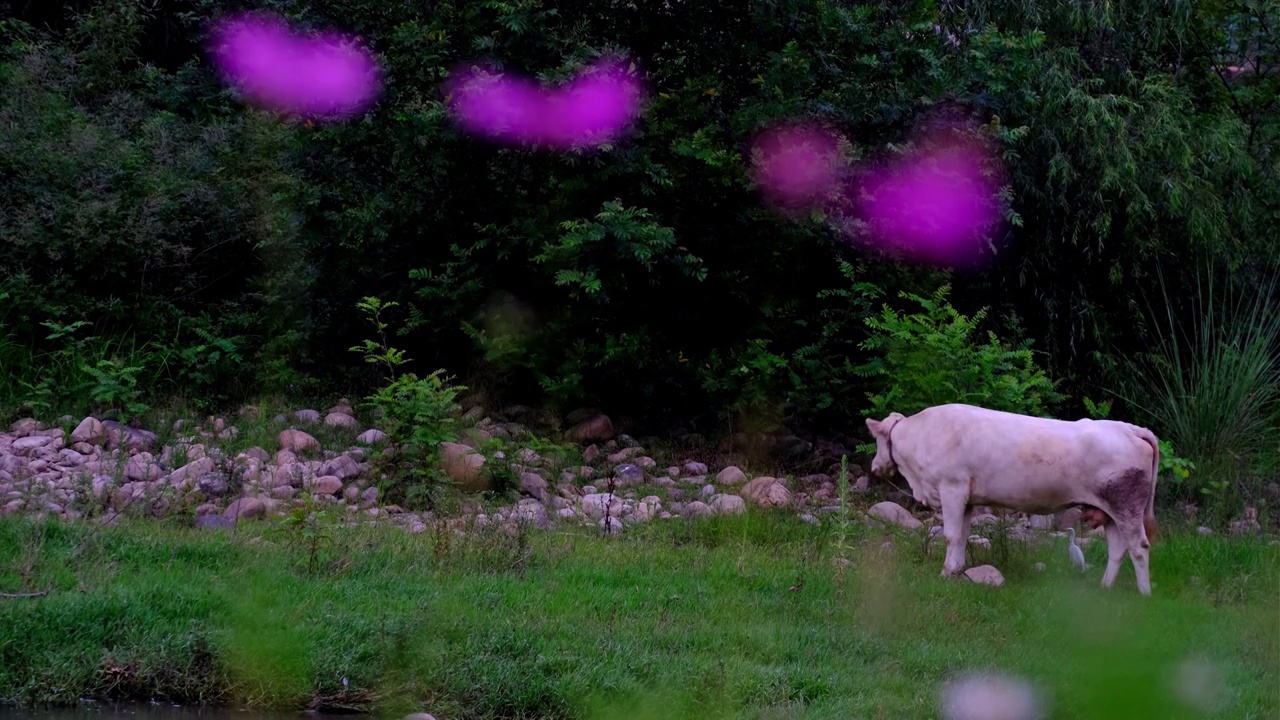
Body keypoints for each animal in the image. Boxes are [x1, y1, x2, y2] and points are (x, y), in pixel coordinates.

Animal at [865, 399, 1157, 591]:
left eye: (877, 439)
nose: (874, 466)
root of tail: (1130, 428)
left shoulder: (951, 488)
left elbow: (950, 535)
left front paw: (946, 573)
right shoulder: (966, 498)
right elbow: (962, 535)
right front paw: (957, 569)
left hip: (1126, 504)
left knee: (1139, 547)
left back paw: (1144, 594)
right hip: (1110, 510)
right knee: (1118, 548)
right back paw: (1105, 587)